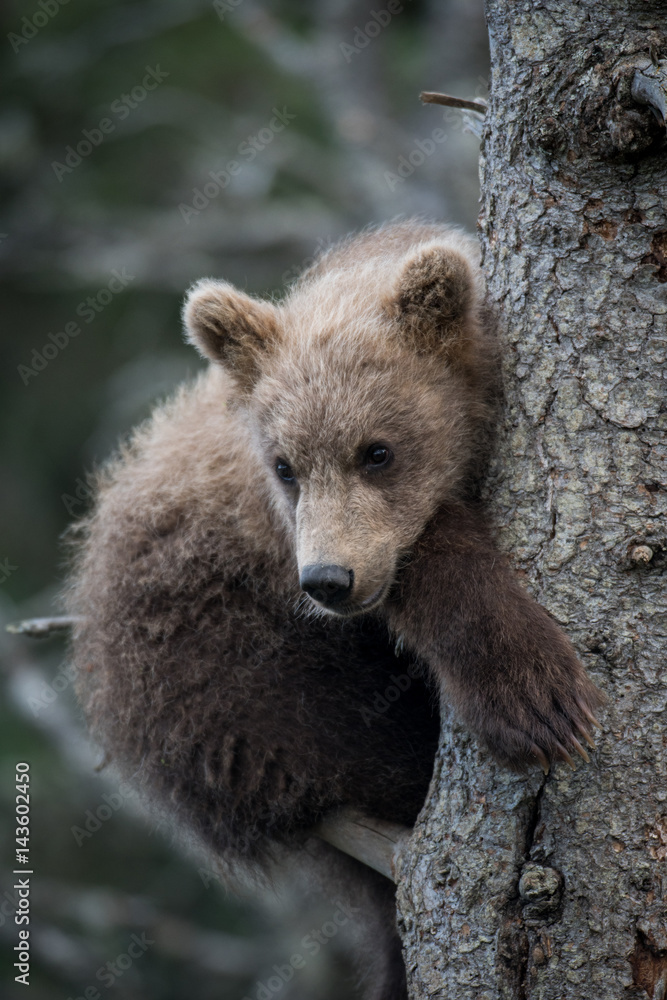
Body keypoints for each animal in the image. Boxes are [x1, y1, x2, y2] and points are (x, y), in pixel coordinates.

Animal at [66, 220, 602, 1000]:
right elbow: (427, 558)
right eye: (285, 465)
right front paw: (536, 698)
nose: (328, 580)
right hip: (230, 688)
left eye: (377, 450)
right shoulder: (269, 541)